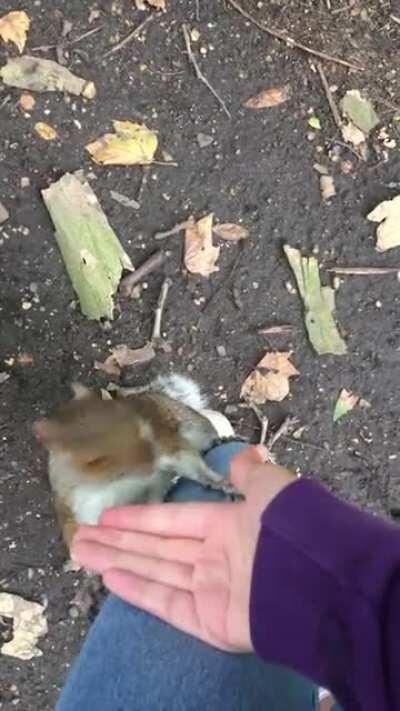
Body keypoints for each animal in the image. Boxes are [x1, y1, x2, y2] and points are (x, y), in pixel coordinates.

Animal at [34, 374, 235, 549]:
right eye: (94, 462)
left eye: (140, 423)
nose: (151, 464)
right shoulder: (82, 506)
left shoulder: (166, 442)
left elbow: (186, 461)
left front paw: (219, 482)